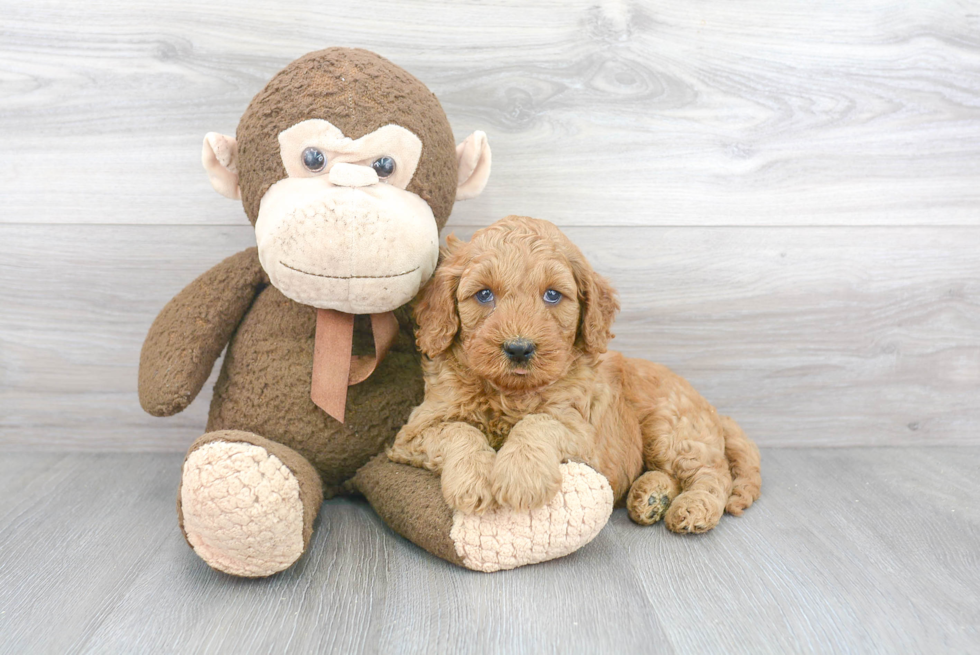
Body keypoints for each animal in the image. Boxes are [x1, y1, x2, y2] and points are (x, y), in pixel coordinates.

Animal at [386, 215, 760, 532]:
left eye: (553, 295)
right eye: (483, 294)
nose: (519, 348)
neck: (509, 394)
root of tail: (713, 411)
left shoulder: (584, 435)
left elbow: (538, 422)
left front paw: (521, 477)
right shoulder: (414, 432)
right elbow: (459, 430)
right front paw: (473, 481)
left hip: (671, 428)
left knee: (713, 473)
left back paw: (692, 507)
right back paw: (652, 497)